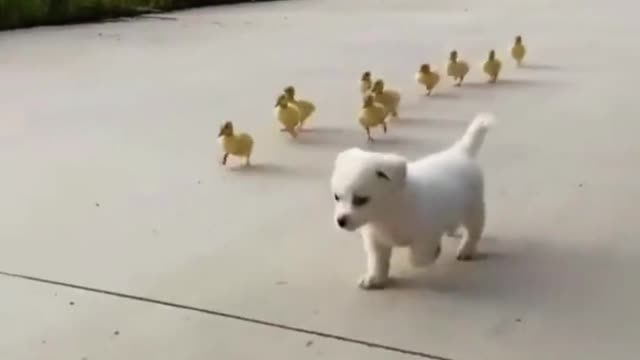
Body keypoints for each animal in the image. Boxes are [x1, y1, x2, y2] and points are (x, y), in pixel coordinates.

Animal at [332, 114, 492, 288]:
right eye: (337, 197)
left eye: (361, 200)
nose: (340, 221)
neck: (388, 212)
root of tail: (461, 152)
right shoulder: (376, 241)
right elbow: (377, 261)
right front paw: (375, 278)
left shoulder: (427, 233)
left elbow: (418, 258)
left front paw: (433, 253)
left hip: (473, 209)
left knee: (473, 232)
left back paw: (466, 250)